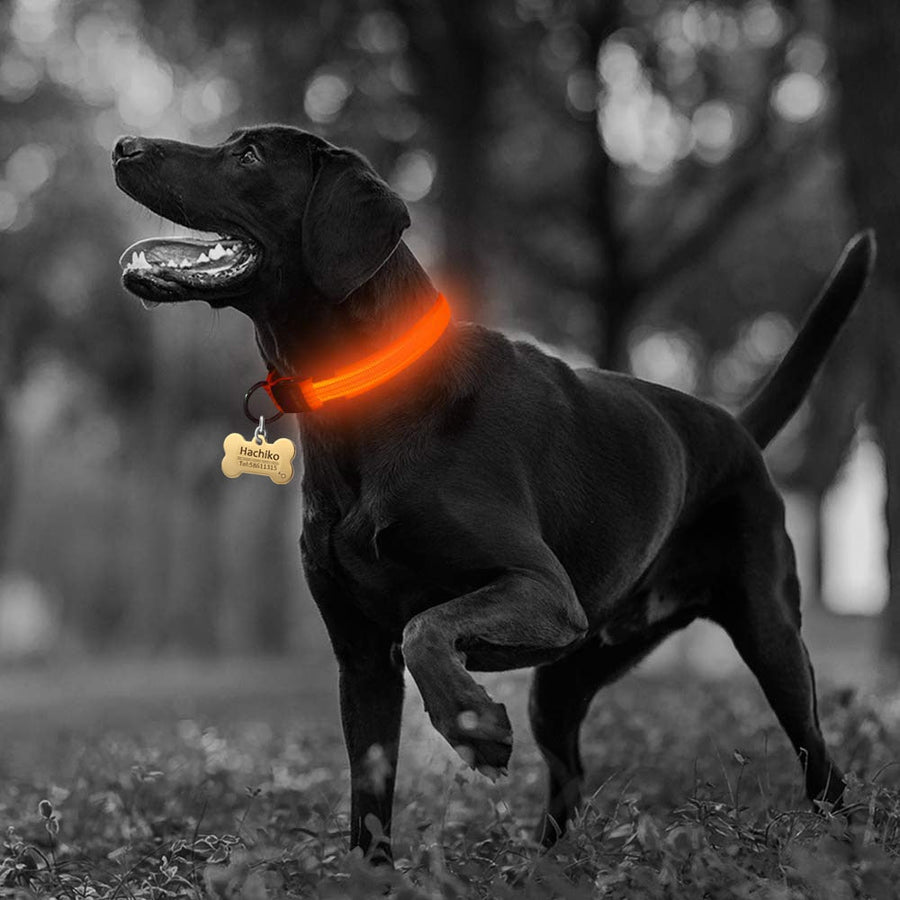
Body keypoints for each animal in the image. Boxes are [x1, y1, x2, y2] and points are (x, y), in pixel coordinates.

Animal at [110, 126, 872, 864]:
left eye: (248, 155)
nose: (122, 146)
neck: (370, 399)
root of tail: (736, 427)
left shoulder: (540, 590)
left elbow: (427, 628)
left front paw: (474, 729)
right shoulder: (361, 659)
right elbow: (369, 800)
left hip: (769, 638)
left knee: (823, 766)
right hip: (566, 678)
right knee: (570, 778)